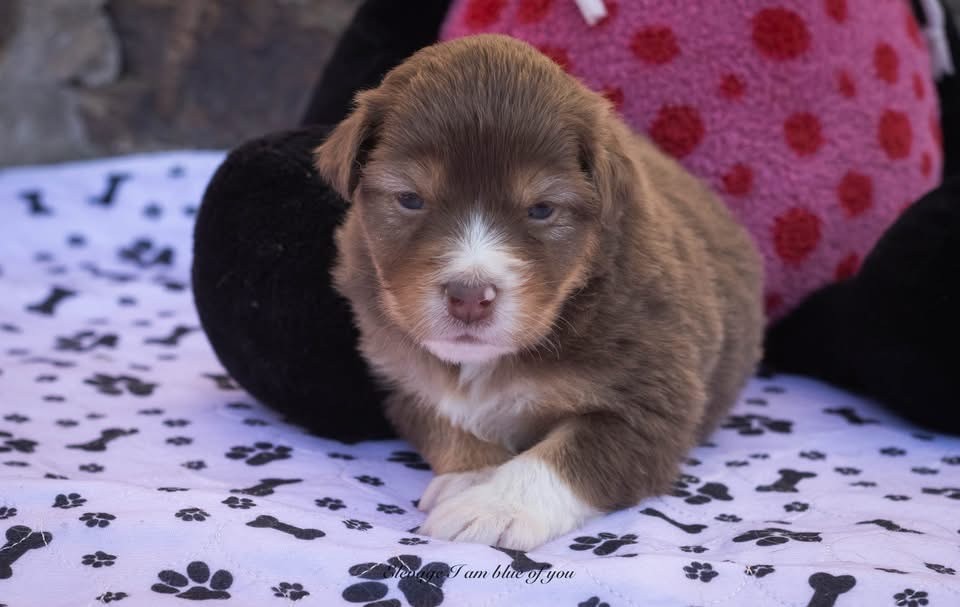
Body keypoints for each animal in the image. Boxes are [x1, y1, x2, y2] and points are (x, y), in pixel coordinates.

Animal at [316, 34, 764, 552]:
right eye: (410, 199)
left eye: (542, 209)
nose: (470, 296)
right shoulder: (404, 379)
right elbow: (449, 423)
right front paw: (473, 476)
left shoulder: (650, 401)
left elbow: (566, 456)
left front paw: (491, 506)